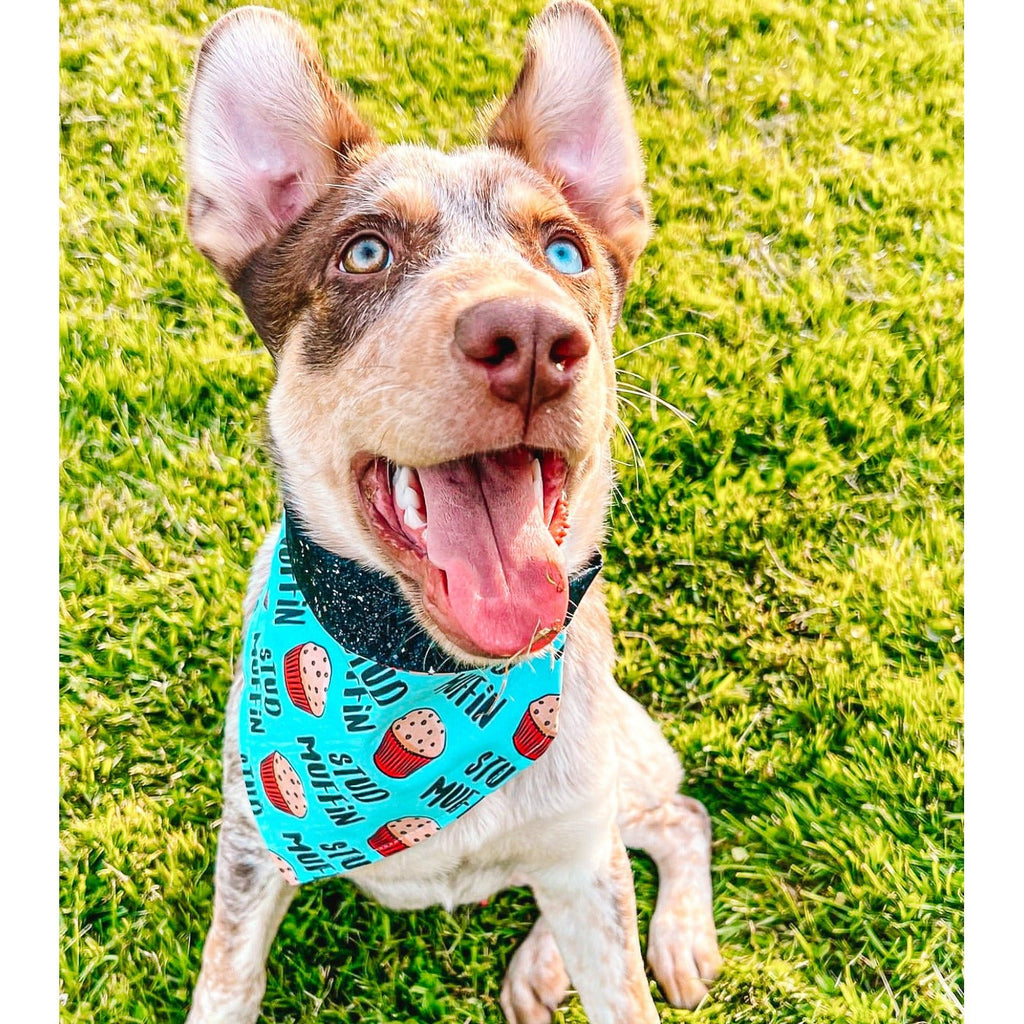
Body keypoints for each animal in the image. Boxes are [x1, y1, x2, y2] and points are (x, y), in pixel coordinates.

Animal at [182, 4, 720, 1019]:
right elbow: (229, 979)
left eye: (565, 251)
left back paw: (659, 940)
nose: (538, 339)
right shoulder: (252, 842)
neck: (423, 668)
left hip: (618, 777)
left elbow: (621, 974)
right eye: (363, 252)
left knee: (679, 816)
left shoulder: (585, 851)